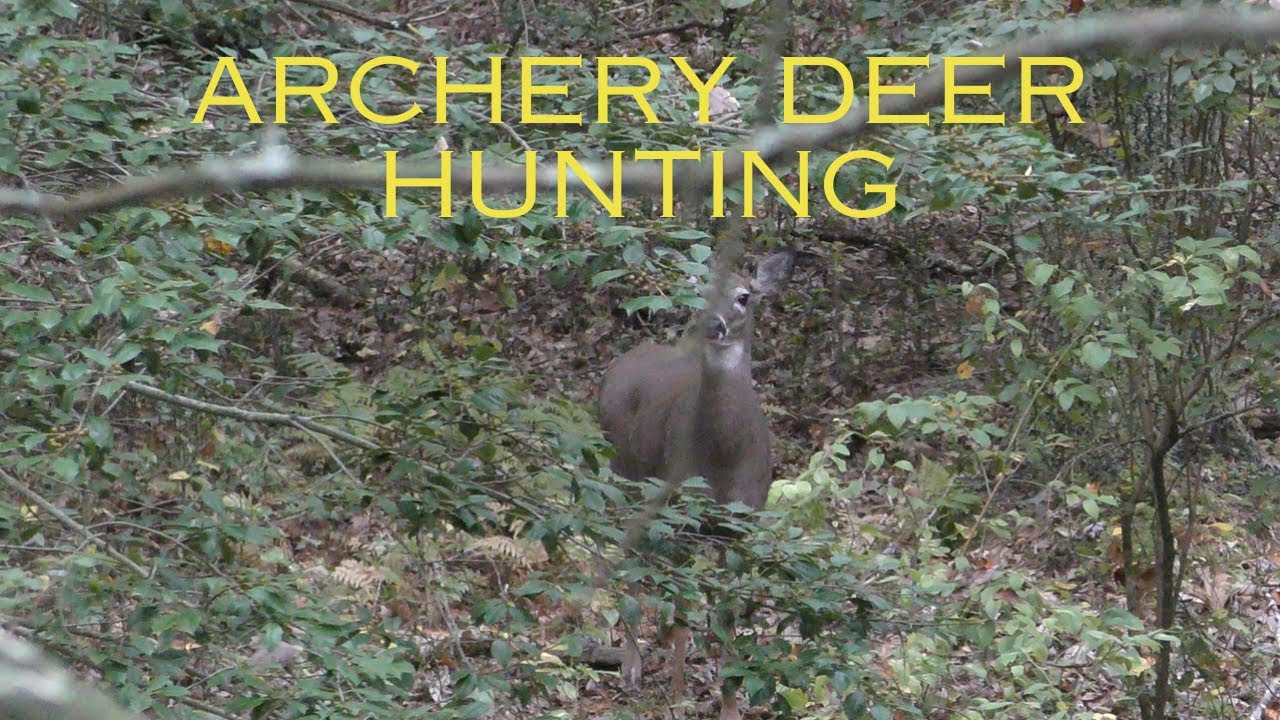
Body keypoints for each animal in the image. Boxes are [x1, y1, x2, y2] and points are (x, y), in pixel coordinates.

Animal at [596, 248, 796, 720]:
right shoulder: (683, 516)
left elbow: (726, 615)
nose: (713, 324)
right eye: (703, 290)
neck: (723, 458)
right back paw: (632, 669)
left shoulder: (743, 524)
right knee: (632, 562)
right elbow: (688, 603)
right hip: (624, 478)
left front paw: (730, 706)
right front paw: (679, 691)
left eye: (744, 295)